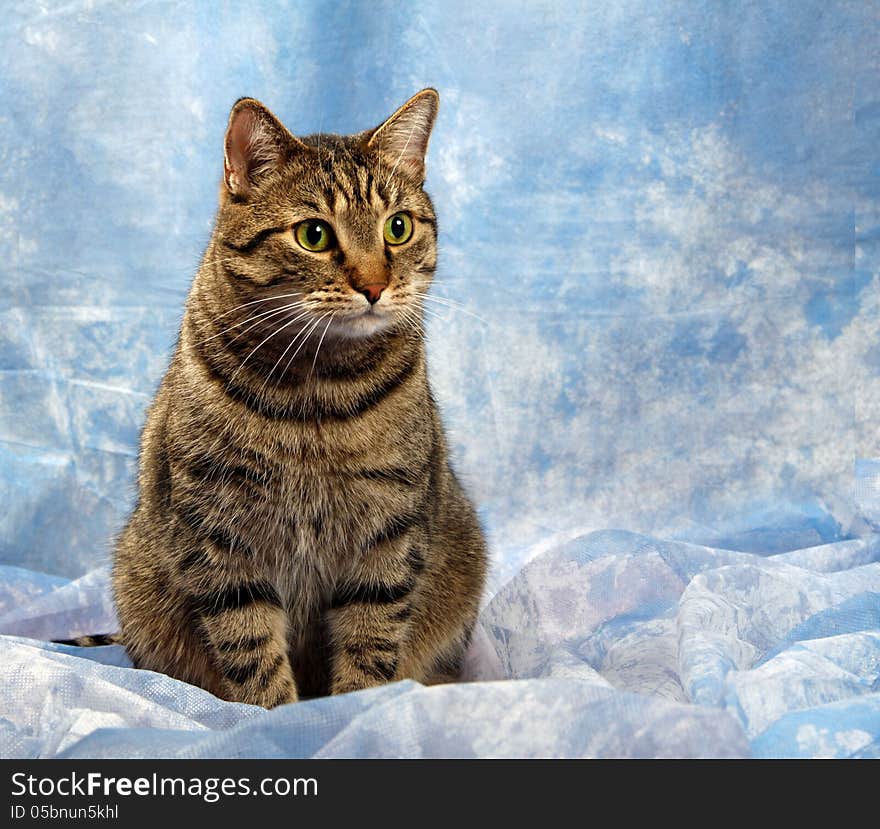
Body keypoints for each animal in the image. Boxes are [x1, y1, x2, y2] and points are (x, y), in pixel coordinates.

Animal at [108, 87, 488, 704]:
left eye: (398, 228)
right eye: (314, 235)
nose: (375, 285)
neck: (318, 392)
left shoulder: (388, 529)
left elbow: (371, 638)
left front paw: (356, 709)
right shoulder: (217, 532)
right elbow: (250, 647)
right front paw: (279, 714)